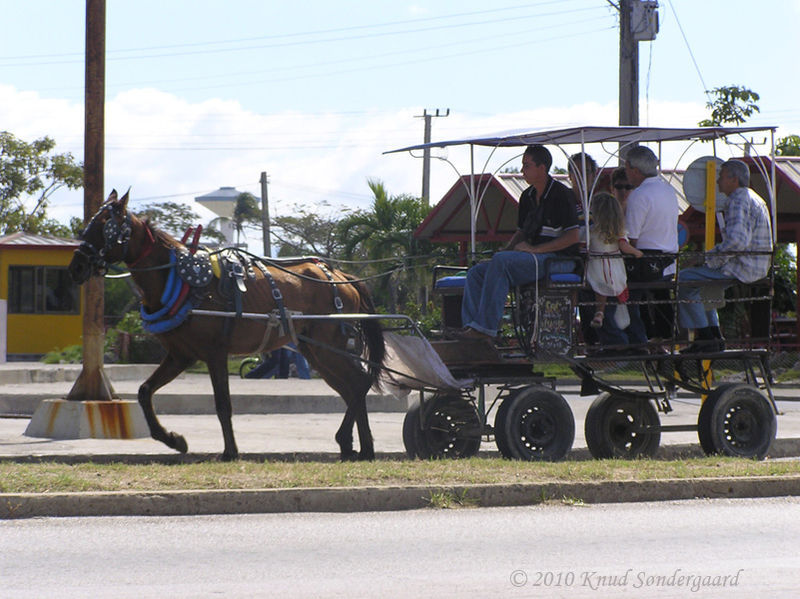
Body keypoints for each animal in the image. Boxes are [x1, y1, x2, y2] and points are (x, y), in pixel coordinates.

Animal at [70, 190, 390, 462]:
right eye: (88, 226)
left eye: (103, 227)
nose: (76, 267)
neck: (182, 279)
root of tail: (342, 276)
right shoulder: (180, 356)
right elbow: (144, 391)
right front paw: (173, 439)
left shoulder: (215, 354)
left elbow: (223, 403)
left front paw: (230, 451)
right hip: (316, 351)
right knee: (351, 388)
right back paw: (356, 446)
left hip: (329, 348)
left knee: (358, 384)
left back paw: (359, 445)